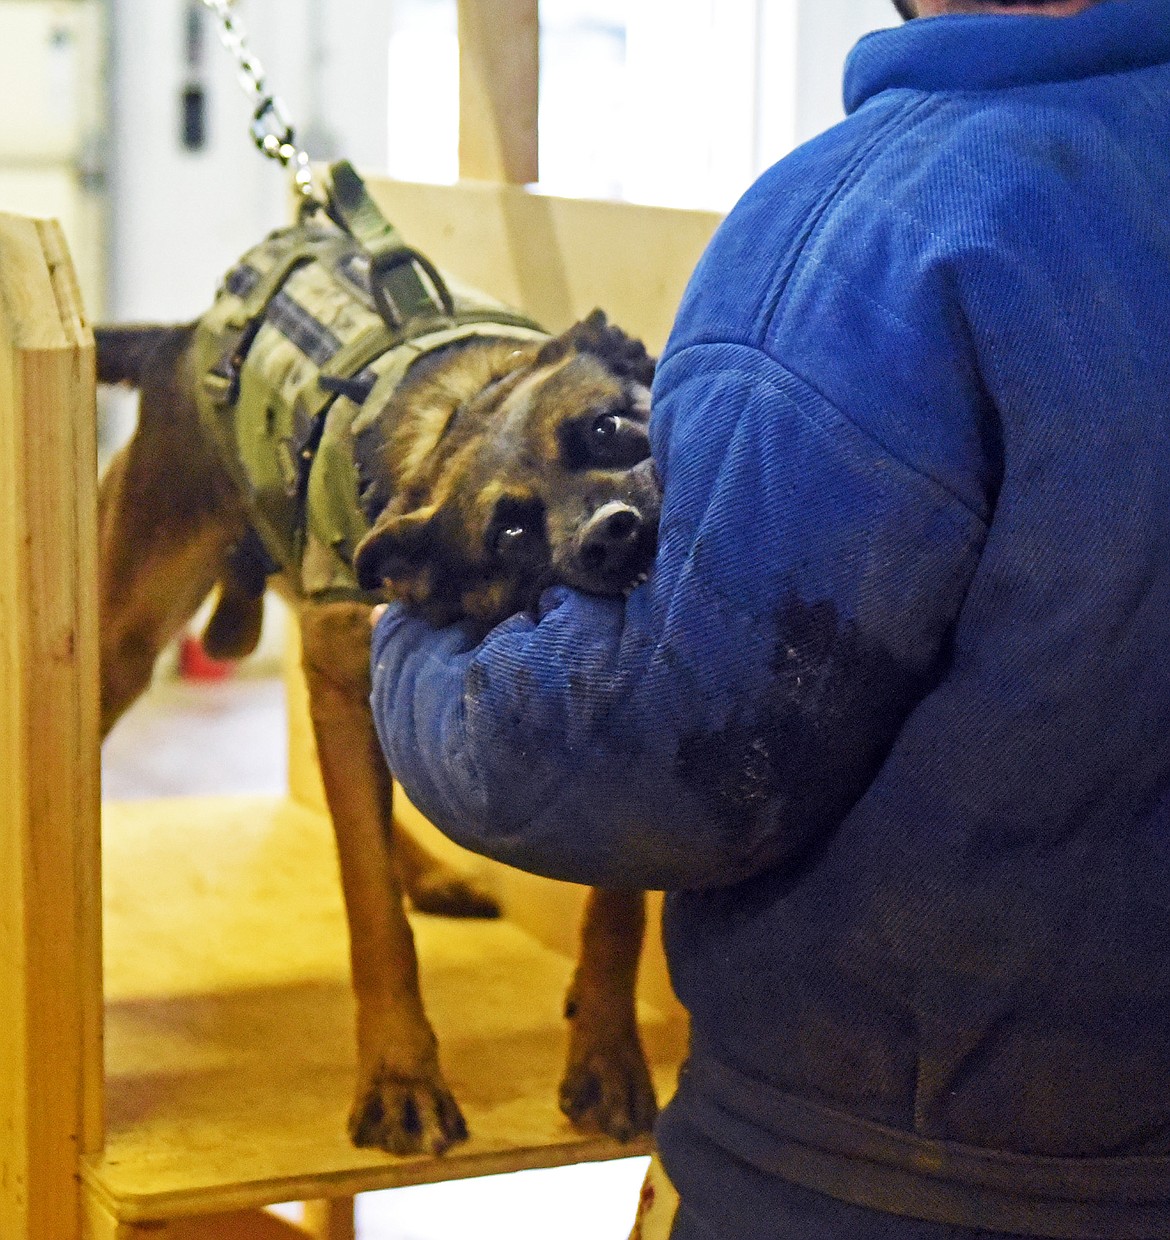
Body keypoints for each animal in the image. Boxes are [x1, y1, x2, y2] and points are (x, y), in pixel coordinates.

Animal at [96, 169, 664, 1155]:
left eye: (606, 430)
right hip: (124, 634)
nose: (614, 534)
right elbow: (372, 914)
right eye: (510, 532)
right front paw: (401, 1075)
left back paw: (427, 870)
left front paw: (606, 1050)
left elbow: (616, 907)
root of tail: (177, 338)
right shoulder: (345, 685)